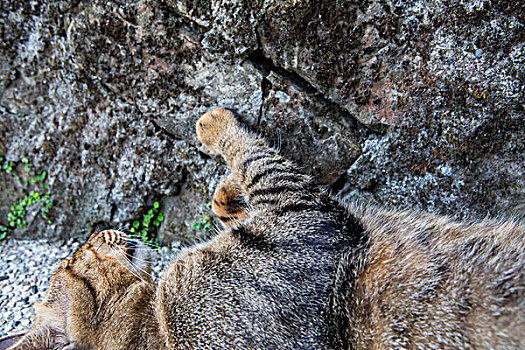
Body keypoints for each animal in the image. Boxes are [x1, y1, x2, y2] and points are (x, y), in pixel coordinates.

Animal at [2, 108, 520, 348]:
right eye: (77, 255)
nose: (97, 232)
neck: (152, 327)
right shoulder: (306, 220)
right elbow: (256, 157)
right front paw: (216, 125)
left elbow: (245, 184)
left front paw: (225, 196)